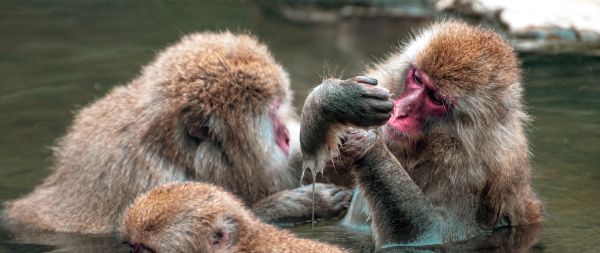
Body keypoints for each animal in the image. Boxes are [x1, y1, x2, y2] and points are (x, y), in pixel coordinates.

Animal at [3, 32, 352, 234]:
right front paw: (294, 204)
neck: (176, 155)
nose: (288, 135)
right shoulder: (149, 183)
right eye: (274, 118)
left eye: (282, 108)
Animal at [302, 20, 540, 248]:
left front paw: (369, 145)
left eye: (435, 98)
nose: (399, 112)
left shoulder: (475, 175)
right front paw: (333, 99)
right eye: (417, 79)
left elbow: (433, 234)